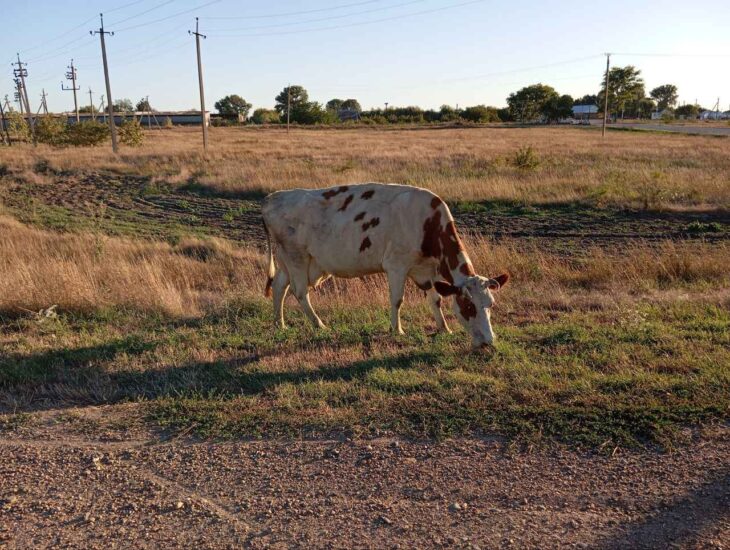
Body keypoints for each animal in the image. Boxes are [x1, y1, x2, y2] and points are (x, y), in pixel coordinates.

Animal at [260, 184, 506, 350]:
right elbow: (397, 300)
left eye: (491, 305)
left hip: (289, 260)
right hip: (297, 257)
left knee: (280, 286)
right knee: (300, 292)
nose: (488, 341)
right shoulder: (397, 265)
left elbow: (435, 300)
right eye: (468, 306)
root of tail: (273, 197)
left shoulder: (429, 270)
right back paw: (319, 325)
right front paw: (397, 330)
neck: (427, 223)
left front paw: (444, 328)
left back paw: (279, 324)